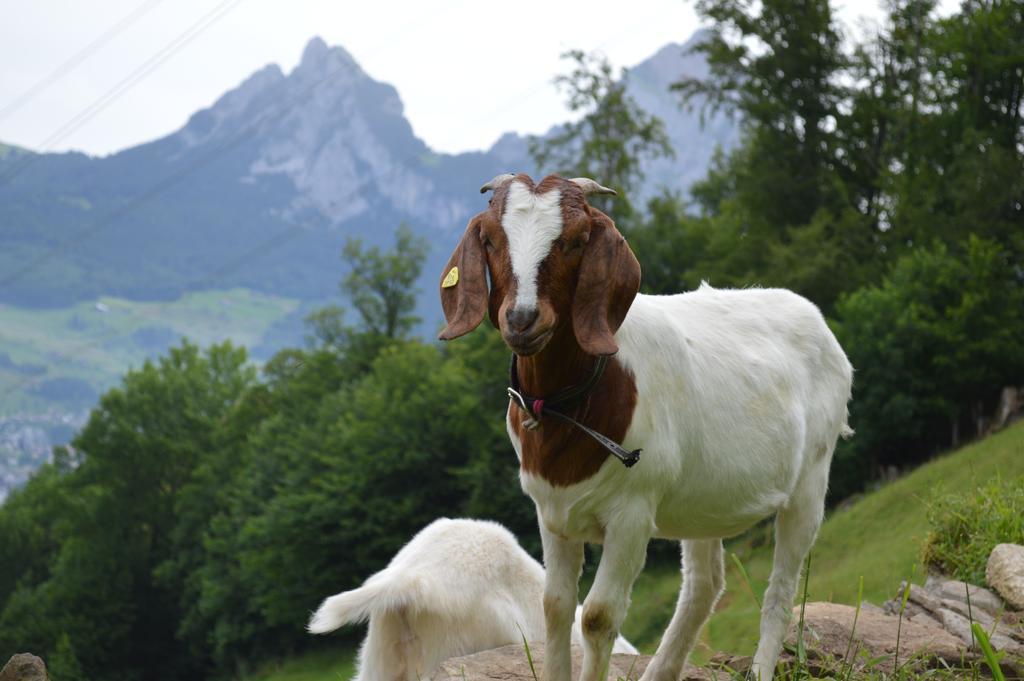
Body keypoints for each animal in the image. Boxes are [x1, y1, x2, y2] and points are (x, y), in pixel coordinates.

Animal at [436, 173, 851, 679]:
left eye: (577, 239)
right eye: (492, 239)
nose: (522, 318)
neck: (569, 406)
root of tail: (815, 319)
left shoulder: (632, 513)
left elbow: (597, 616)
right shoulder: (551, 511)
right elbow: (555, 606)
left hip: (811, 476)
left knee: (781, 588)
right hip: (704, 498)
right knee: (704, 584)